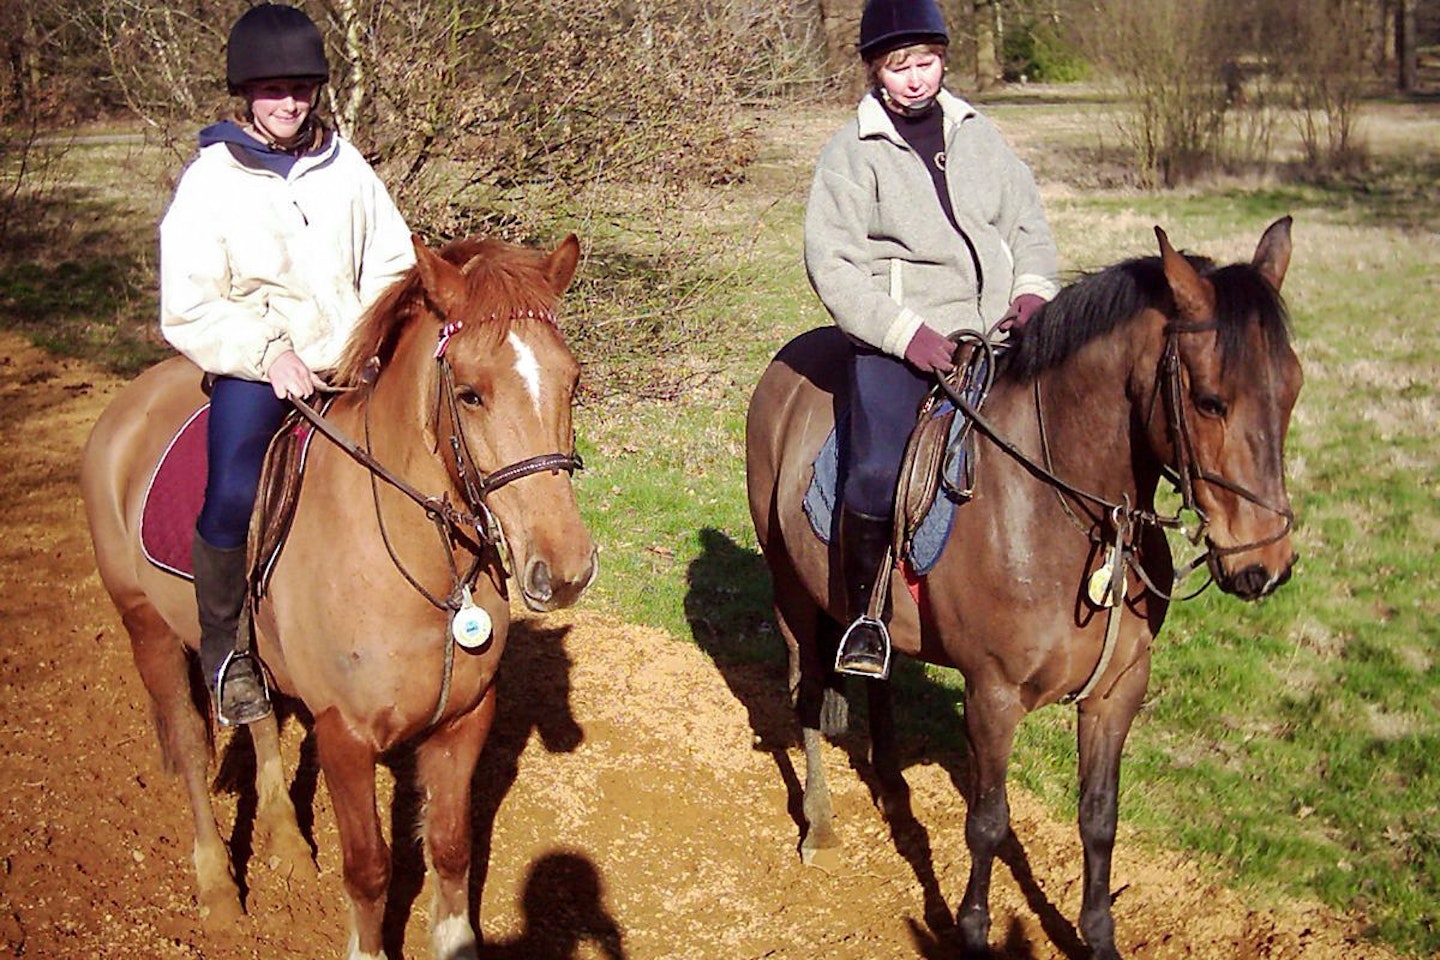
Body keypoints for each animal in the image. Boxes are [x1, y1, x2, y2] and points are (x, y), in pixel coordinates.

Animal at [80, 234, 596, 960]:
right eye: (469, 394)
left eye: (572, 382)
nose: (567, 569)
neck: (426, 575)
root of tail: (128, 407)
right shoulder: (344, 737)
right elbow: (370, 868)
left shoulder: (464, 722)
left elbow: (450, 847)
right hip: (145, 627)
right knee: (189, 747)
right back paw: (217, 890)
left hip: (246, 652)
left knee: (257, 717)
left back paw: (290, 847)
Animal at [748, 220, 1301, 960]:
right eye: (1210, 400)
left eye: (1292, 390)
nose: (1264, 565)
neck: (1061, 510)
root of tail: (788, 360)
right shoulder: (994, 694)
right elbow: (987, 820)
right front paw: (974, 932)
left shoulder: (1117, 692)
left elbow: (1099, 818)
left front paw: (1097, 936)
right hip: (792, 590)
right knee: (805, 691)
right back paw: (820, 824)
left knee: (878, 682)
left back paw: (891, 790)